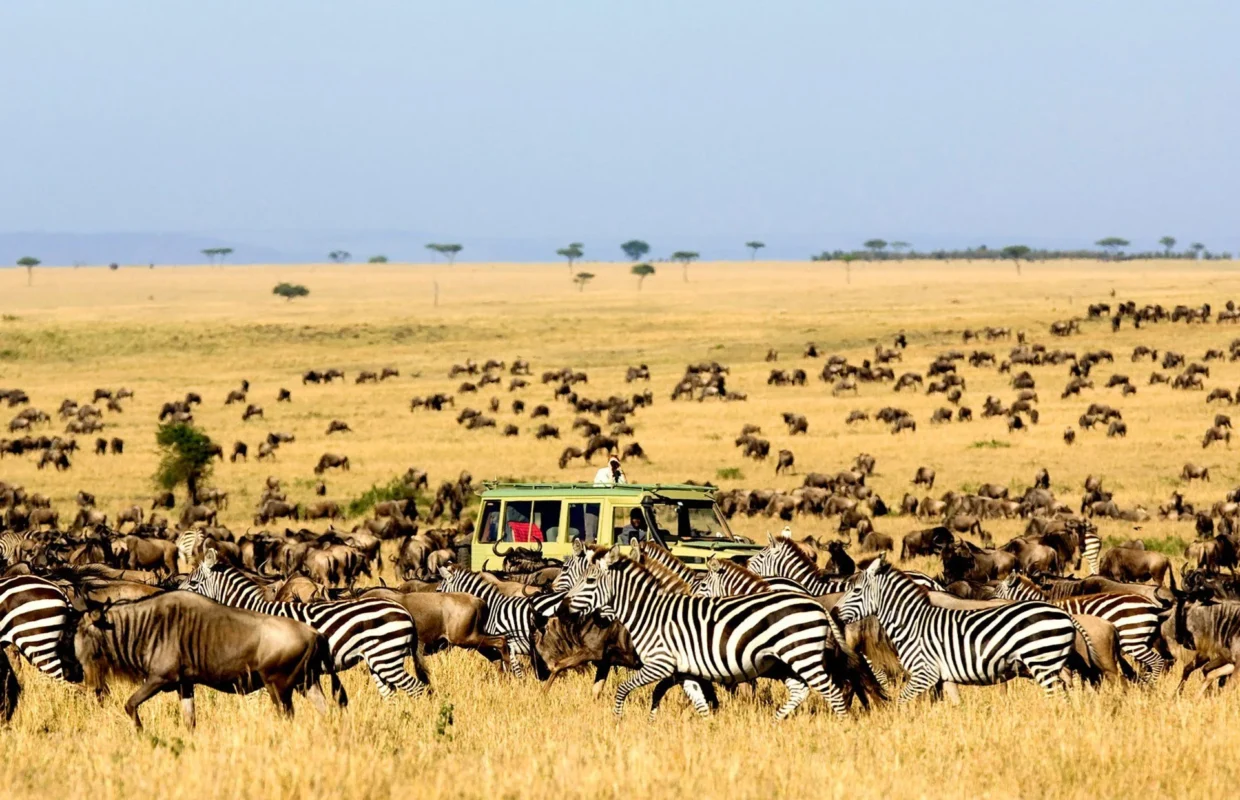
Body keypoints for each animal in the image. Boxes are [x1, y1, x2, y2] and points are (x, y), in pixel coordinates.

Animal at [184, 549, 429, 699]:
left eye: (193, 583)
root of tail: (404, 611)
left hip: (386, 656)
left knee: (418, 689)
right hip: (378, 660)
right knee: (392, 694)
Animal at [565, 546, 853, 720]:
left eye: (589, 580)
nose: (564, 606)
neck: (649, 613)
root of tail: (815, 603)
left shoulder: (660, 664)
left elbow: (623, 688)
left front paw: (618, 719)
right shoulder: (684, 671)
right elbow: (699, 702)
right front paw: (707, 729)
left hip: (801, 654)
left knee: (832, 692)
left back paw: (841, 726)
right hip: (783, 661)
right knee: (800, 690)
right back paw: (774, 723)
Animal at [836, 559, 1083, 702]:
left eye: (855, 590)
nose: (835, 611)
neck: (912, 622)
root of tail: (1064, 614)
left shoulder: (924, 672)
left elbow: (902, 700)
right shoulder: (944, 675)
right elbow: (955, 703)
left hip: (1042, 661)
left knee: (1058, 693)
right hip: (1051, 662)